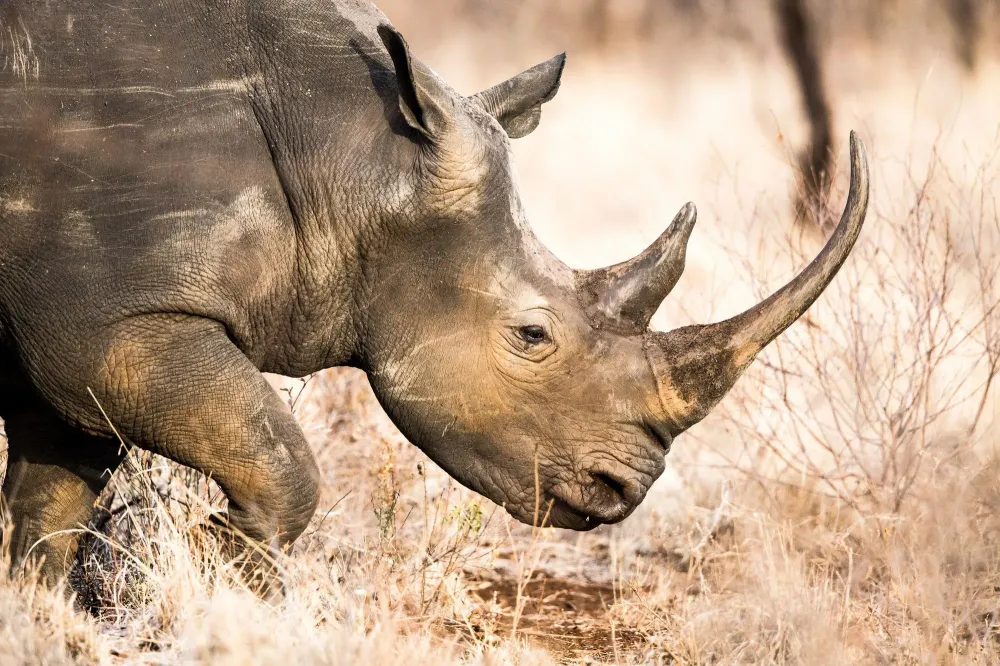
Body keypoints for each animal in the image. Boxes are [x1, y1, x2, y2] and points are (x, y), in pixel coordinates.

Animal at [0, 0, 869, 585]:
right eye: (532, 337)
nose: (626, 488)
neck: (353, 158)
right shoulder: (109, 323)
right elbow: (276, 456)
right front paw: (219, 564)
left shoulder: (78, 335)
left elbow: (48, 507)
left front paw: (40, 616)